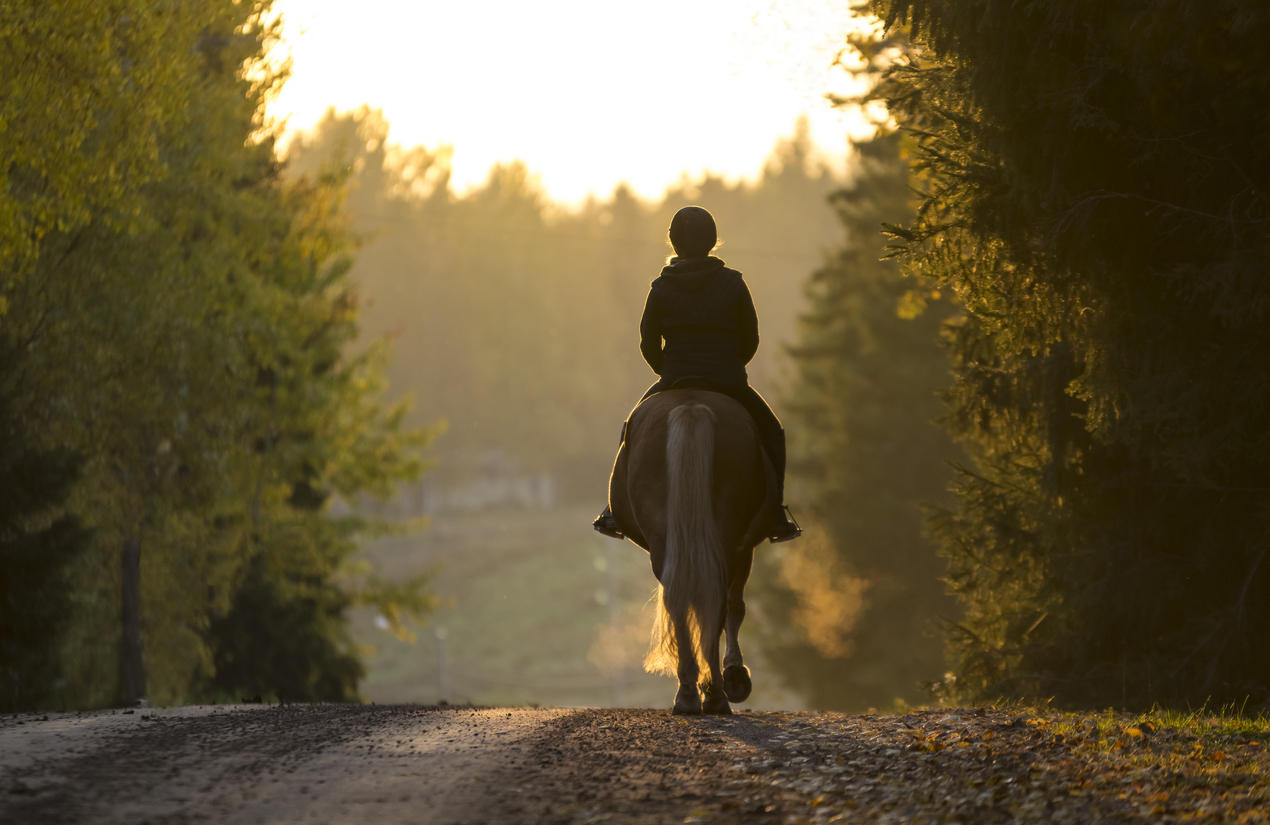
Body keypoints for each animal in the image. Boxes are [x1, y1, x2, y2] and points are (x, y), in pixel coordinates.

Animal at [604, 385, 772, 710]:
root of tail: (690, 408)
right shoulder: (745, 547)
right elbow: (736, 607)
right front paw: (734, 675)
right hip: (728, 539)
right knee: (717, 601)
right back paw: (715, 693)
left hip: (665, 538)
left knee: (679, 600)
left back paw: (689, 693)